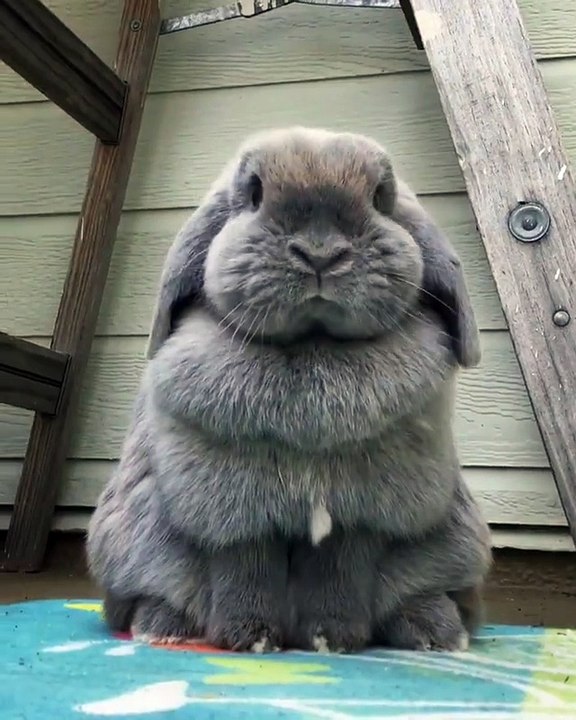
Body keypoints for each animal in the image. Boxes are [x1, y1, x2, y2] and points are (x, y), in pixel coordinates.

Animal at [86, 126, 492, 654]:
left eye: (380, 198)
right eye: (254, 193)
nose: (320, 254)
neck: (311, 346)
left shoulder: (359, 517)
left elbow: (340, 575)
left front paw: (331, 639)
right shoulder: (235, 517)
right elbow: (245, 572)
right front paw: (251, 639)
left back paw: (435, 631)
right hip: (133, 545)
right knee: (146, 593)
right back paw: (161, 626)